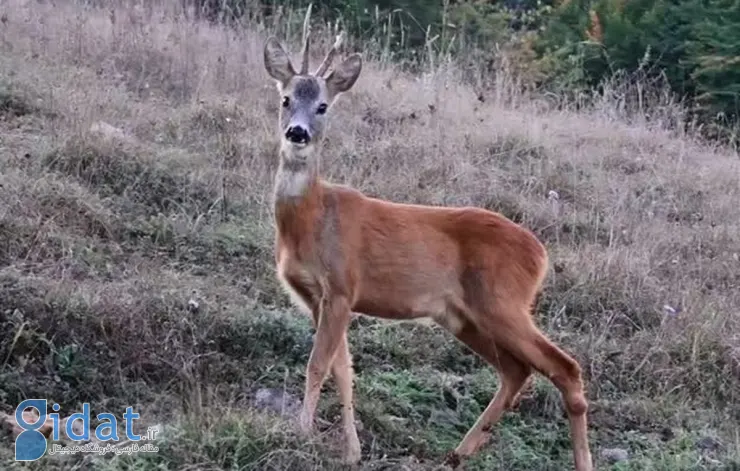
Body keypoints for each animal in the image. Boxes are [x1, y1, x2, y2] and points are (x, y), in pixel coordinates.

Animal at [264, 5, 592, 470]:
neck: (311, 219)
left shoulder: (342, 287)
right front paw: (352, 451)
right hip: (463, 315)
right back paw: (458, 452)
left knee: (564, 367)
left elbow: (318, 365)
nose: (297, 133)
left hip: (502, 302)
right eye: (286, 99)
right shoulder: (316, 296)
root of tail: (541, 253)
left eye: (324, 105)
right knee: (516, 371)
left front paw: (302, 434)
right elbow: (343, 369)